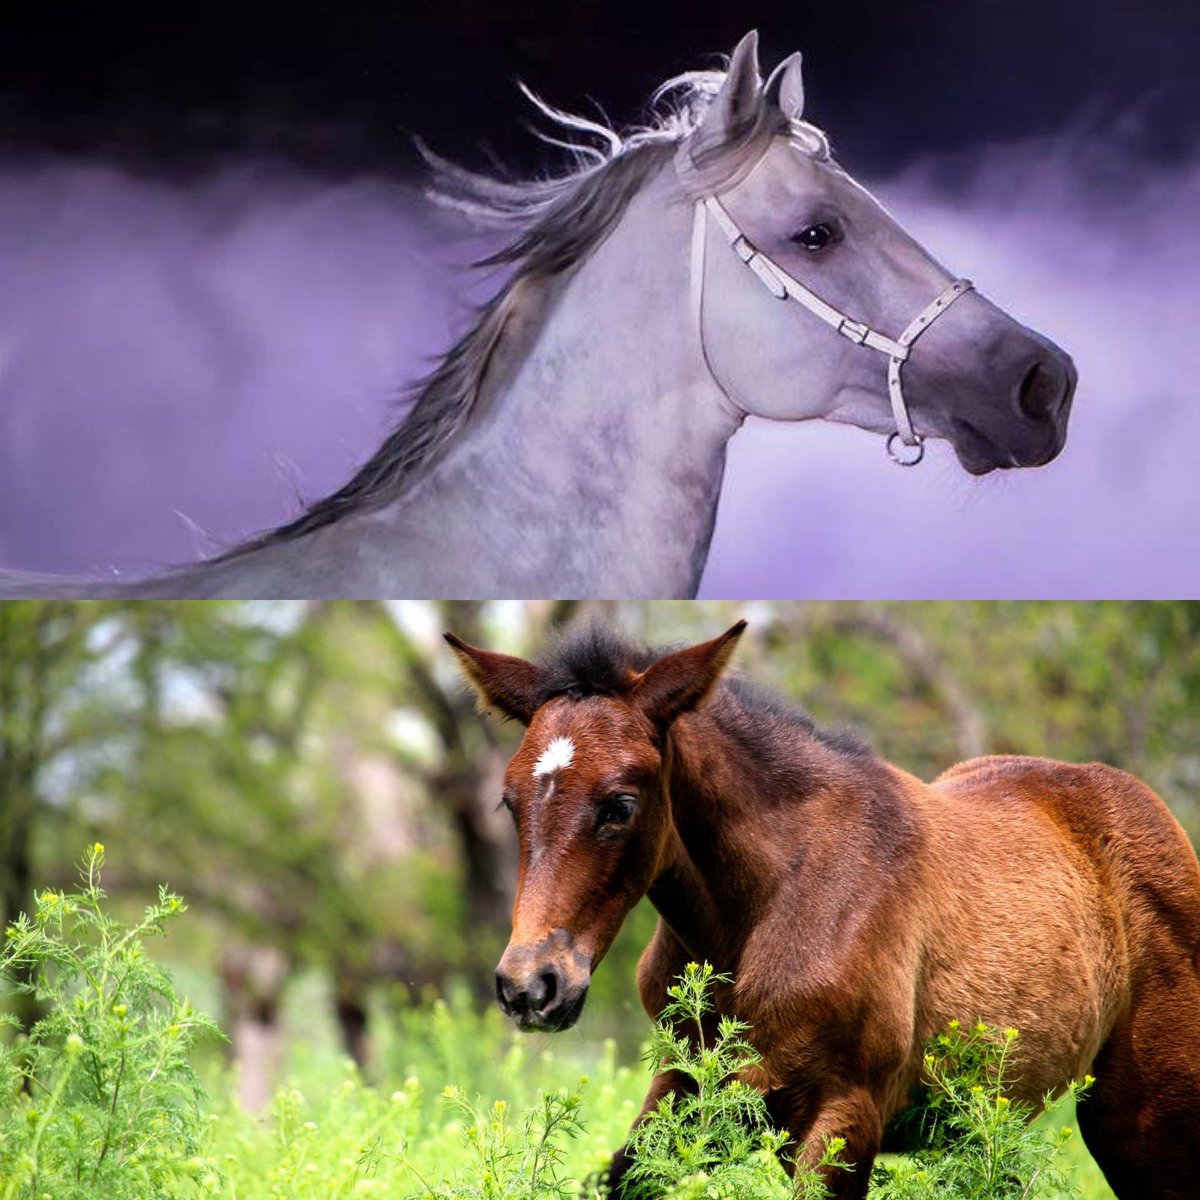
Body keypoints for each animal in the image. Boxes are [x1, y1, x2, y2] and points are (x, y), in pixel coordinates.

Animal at [446, 619, 1200, 1199]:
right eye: (509, 802)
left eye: (620, 805)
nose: (530, 986)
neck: (761, 913)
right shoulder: (691, 1093)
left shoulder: (847, 1112)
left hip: (1144, 1118)